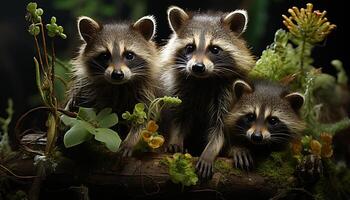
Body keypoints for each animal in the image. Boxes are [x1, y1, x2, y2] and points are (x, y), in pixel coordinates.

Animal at [66, 15, 159, 156]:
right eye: (105, 55)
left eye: (129, 55)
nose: (117, 74)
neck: (119, 86)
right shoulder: (90, 89)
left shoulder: (147, 92)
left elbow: (146, 121)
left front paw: (131, 141)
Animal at [161, 6, 254, 178]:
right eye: (190, 47)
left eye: (214, 49)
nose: (198, 67)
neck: (203, 80)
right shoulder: (181, 89)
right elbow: (178, 117)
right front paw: (175, 140)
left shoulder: (227, 92)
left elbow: (221, 128)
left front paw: (210, 151)